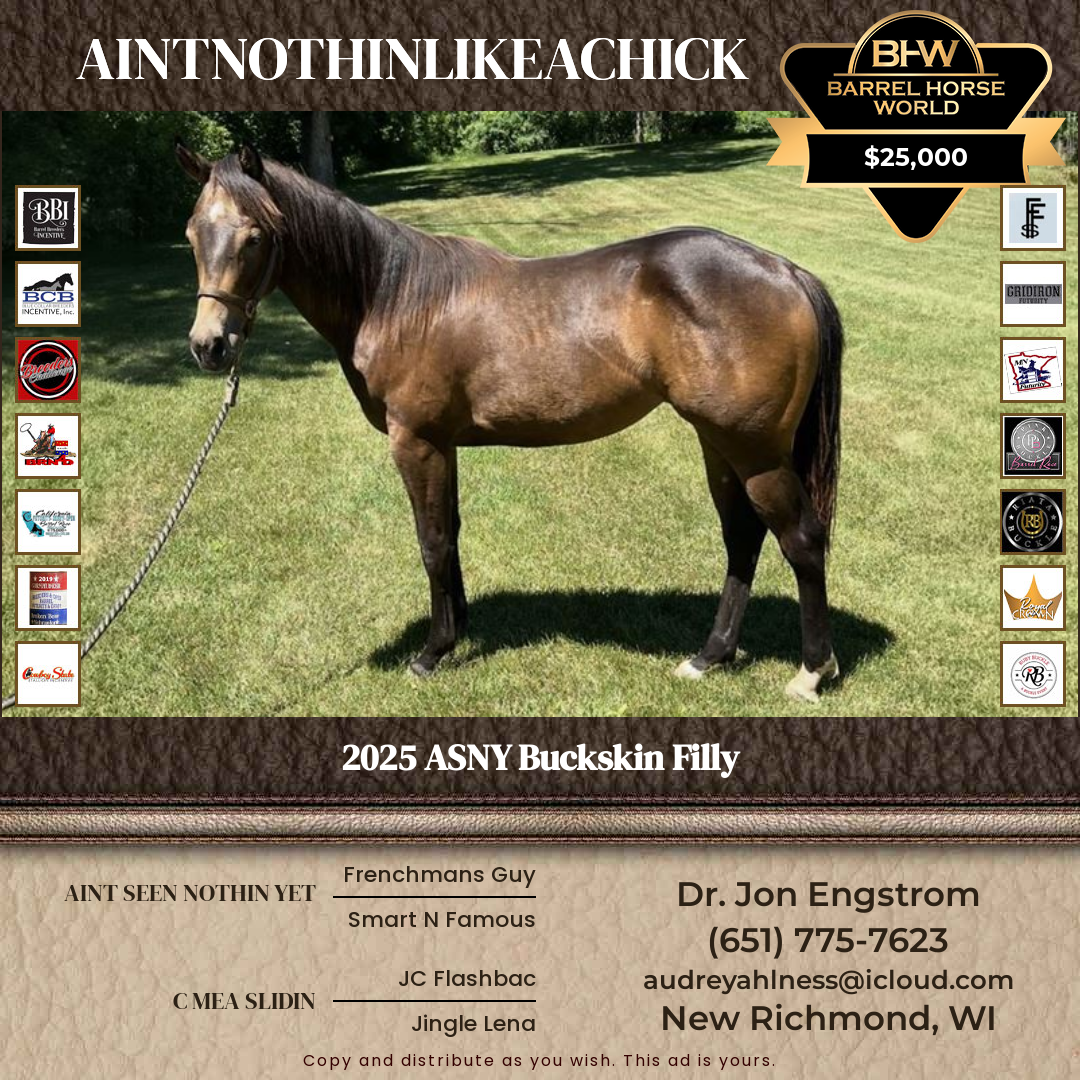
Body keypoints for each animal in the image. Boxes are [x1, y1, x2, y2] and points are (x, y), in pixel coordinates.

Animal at [175, 140, 844, 702]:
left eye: (254, 236)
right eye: (191, 234)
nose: (209, 345)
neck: (394, 298)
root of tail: (786, 271)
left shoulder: (417, 442)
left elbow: (431, 541)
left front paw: (431, 653)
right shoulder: (444, 445)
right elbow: (451, 534)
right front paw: (459, 631)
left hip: (754, 450)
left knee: (800, 539)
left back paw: (811, 672)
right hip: (718, 443)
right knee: (743, 539)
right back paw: (710, 656)